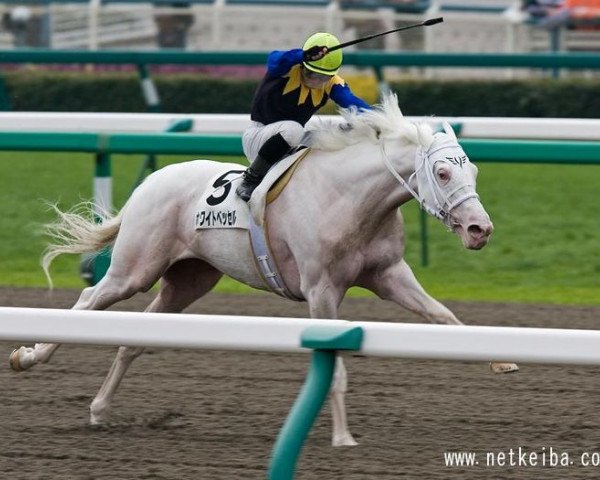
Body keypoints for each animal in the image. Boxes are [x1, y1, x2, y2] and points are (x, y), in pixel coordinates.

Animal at [8, 94, 516, 446]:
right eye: (444, 173)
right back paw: (28, 357)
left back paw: (98, 410)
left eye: (472, 170)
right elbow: (334, 366)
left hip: (189, 280)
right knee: (89, 301)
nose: (480, 229)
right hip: (135, 267)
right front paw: (342, 437)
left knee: (134, 340)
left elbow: (443, 315)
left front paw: (502, 359)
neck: (349, 198)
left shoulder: (389, 274)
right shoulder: (321, 289)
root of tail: (151, 182)